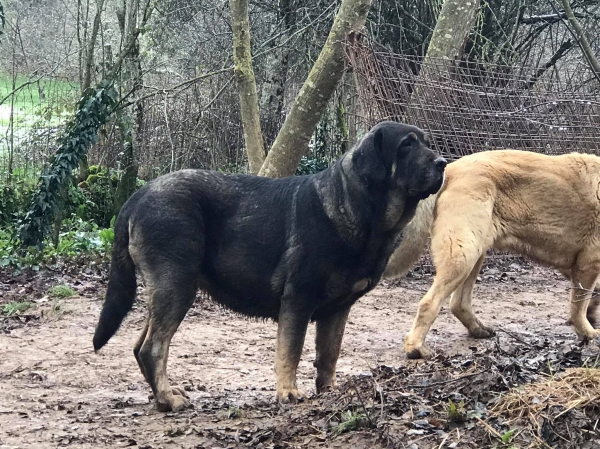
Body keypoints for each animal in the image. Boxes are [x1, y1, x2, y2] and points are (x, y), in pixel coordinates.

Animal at [90, 121, 446, 412]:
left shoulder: (337, 309)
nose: (442, 162)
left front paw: (329, 391)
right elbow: (290, 351)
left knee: (141, 347)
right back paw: (167, 399)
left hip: (167, 291)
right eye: (407, 145)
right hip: (177, 285)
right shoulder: (298, 299)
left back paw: (162, 395)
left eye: (425, 143)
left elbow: (328, 354)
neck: (358, 208)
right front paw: (288, 393)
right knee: (153, 348)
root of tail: (137, 196)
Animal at [384, 149, 600, 358]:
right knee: (429, 303)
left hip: (475, 253)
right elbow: (578, 305)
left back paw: (478, 329)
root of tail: (452, 169)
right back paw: (415, 348)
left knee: (458, 303)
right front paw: (587, 332)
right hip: (463, 255)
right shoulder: (588, 263)